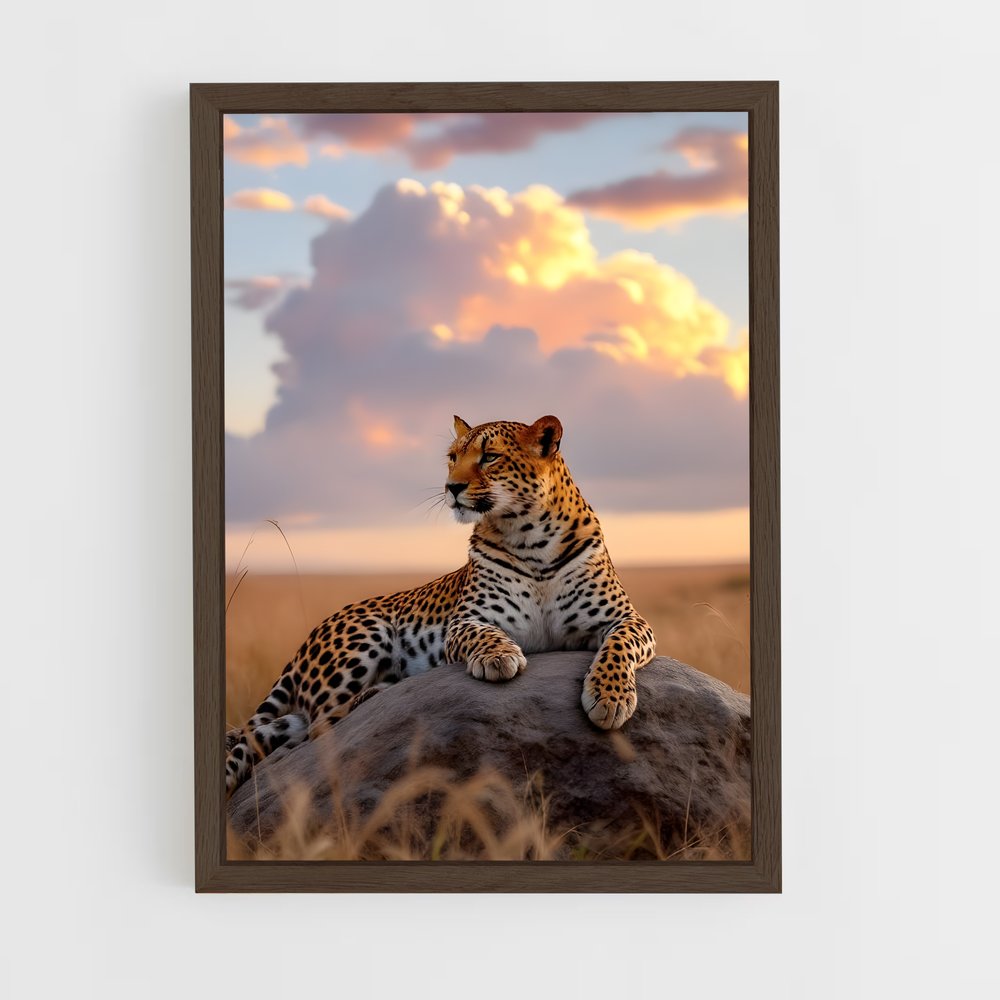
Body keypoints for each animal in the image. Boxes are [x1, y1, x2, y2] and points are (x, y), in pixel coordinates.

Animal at [225, 414, 657, 797]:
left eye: (490, 457)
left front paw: (611, 698)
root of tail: (307, 639)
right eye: (452, 457)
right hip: (366, 635)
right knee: (317, 727)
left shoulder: (626, 618)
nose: (452, 487)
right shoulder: (467, 620)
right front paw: (498, 657)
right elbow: (483, 635)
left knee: (283, 729)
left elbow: (618, 647)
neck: (530, 538)